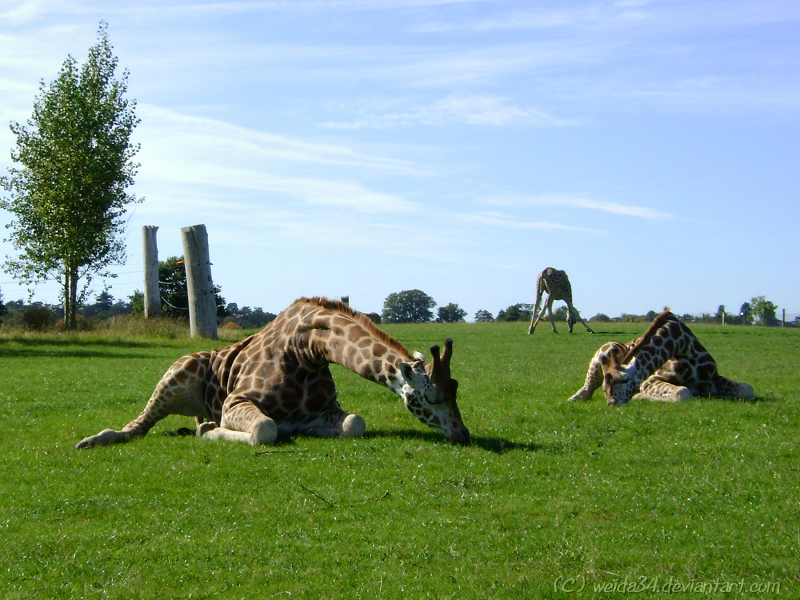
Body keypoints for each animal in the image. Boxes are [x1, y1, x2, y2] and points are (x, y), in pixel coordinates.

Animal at [76, 298, 468, 448]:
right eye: (431, 396)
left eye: (456, 388)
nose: (462, 434)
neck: (307, 351)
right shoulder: (235, 402)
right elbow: (264, 429)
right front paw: (211, 431)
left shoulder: (323, 412)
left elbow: (355, 423)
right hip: (176, 373)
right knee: (138, 425)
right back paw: (95, 439)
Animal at [572, 308, 752, 406]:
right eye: (604, 388)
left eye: (623, 381)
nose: (612, 403)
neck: (684, 347)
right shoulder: (650, 380)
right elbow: (682, 393)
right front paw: (640, 396)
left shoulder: (712, 378)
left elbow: (747, 389)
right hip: (603, 352)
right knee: (586, 389)